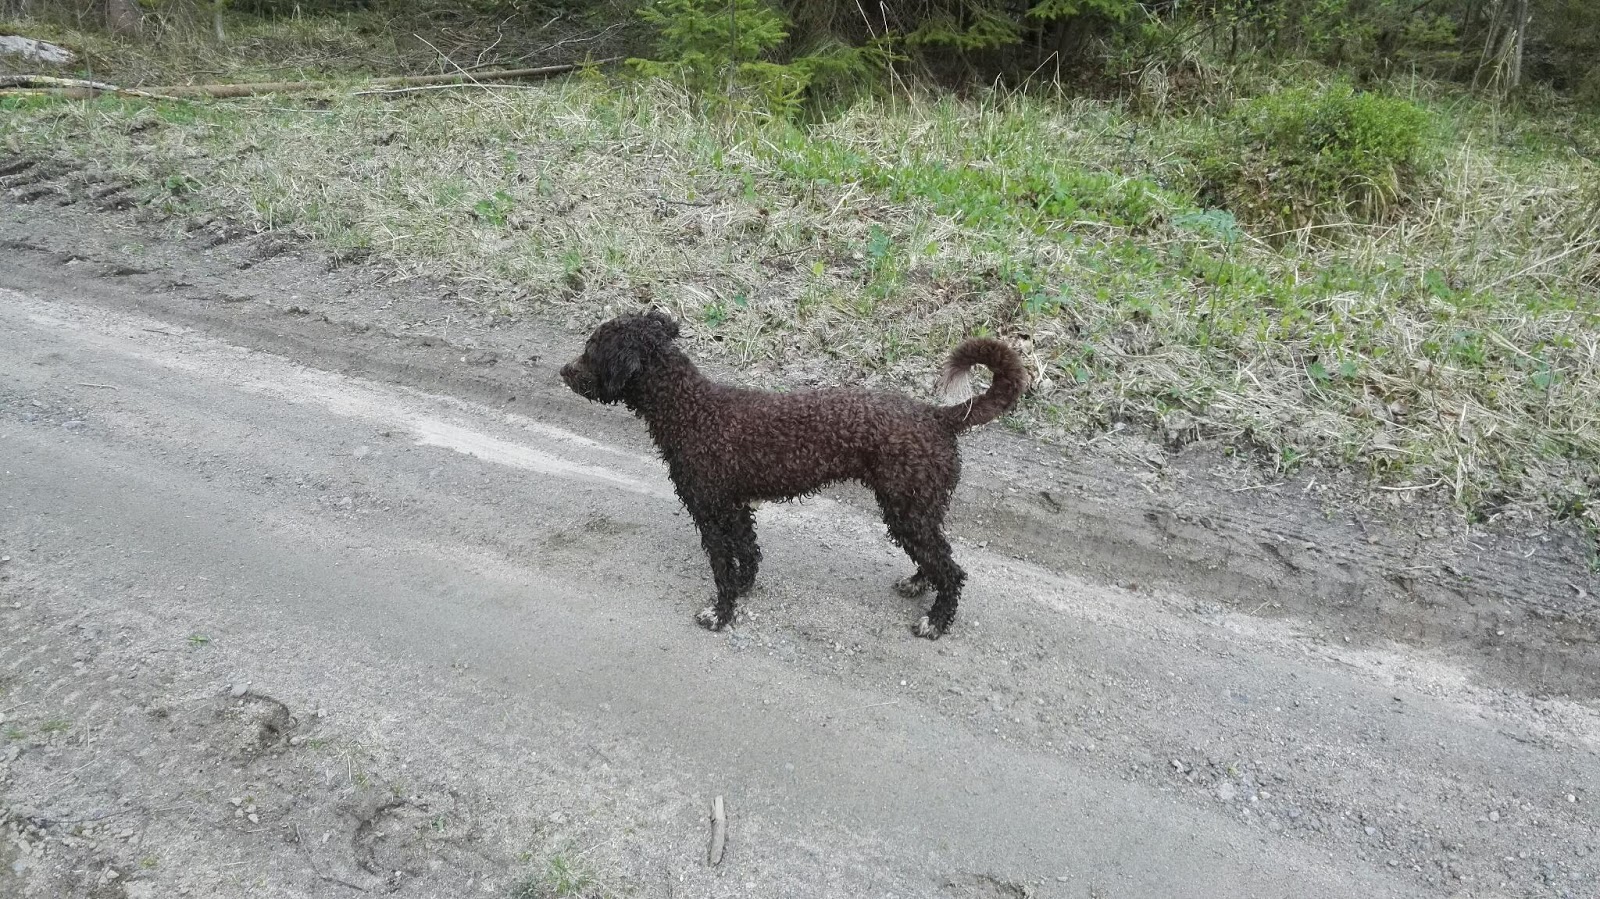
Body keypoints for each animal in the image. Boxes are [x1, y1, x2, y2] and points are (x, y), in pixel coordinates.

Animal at [560, 311, 1028, 639]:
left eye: (592, 349)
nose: (564, 371)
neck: (691, 409)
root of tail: (938, 417)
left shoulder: (710, 510)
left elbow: (723, 568)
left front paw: (721, 613)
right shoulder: (735, 507)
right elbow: (748, 552)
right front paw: (745, 587)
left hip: (908, 507)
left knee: (951, 570)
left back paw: (936, 622)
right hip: (916, 508)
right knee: (936, 558)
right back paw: (918, 585)